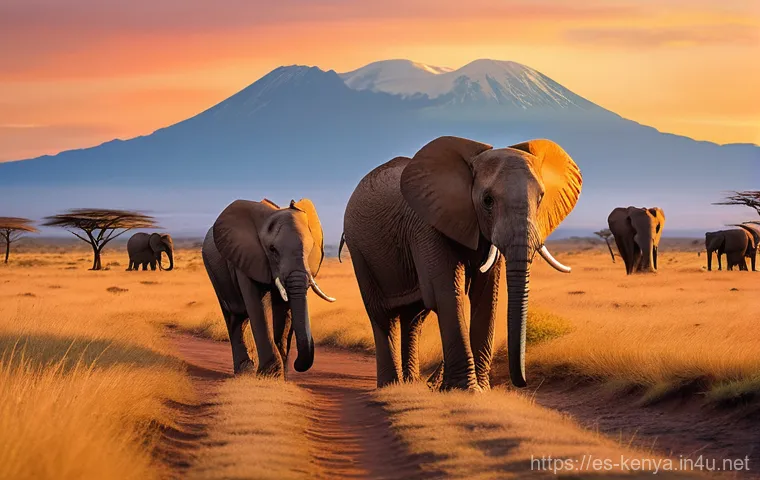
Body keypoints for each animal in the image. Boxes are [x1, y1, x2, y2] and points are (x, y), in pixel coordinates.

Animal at [201, 198, 336, 376]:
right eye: (272, 250)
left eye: (311, 247)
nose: (297, 364)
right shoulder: (246, 258)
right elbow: (259, 307)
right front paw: (271, 375)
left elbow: (285, 312)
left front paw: (283, 376)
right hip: (214, 271)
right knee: (233, 317)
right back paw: (244, 370)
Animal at [342, 136, 582, 390]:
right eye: (487, 200)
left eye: (540, 198)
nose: (522, 382)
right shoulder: (427, 223)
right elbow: (446, 292)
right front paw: (466, 390)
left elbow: (486, 294)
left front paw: (481, 389)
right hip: (358, 248)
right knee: (381, 315)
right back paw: (391, 386)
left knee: (414, 318)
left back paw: (411, 383)